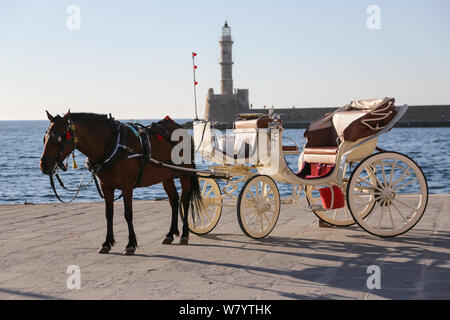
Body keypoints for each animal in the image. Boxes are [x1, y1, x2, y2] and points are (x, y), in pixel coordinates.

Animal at [40, 110, 202, 255]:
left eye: (58, 139)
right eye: (45, 137)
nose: (43, 166)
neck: (112, 144)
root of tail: (179, 128)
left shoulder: (127, 186)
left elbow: (128, 214)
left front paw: (130, 244)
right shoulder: (106, 187)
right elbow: (109, 214)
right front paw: (107, 243)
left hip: (185, 173)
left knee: (185, 201)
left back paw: (184, 235)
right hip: (166, 176)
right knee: (174, 201)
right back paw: (170, 234)